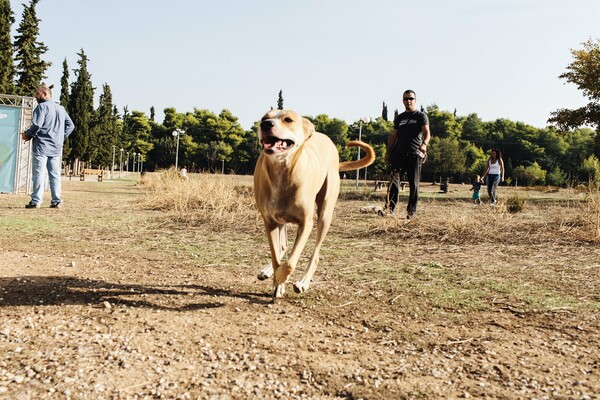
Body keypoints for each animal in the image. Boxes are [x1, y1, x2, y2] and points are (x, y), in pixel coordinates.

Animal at [253, 109, 376, 296]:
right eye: (264, 118)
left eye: (288, 119)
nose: (265, 124)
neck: (282, 173)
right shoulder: (270, 222)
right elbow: (276, 257)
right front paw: (277, 281)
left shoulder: (306, 223)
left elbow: (290, 263)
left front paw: (281, 277)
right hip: (281, 219)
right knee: (282, 246)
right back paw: (269, 271)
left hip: (325, 214)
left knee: (315, 254)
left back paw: (303, 282)